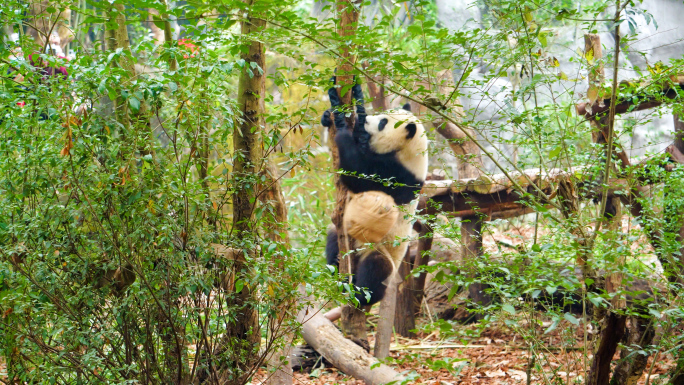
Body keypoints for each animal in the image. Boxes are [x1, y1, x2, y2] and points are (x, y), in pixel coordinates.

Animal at [322, 80, 428, 306]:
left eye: (383, 123)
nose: (367, 120)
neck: (409, 151)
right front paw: (330, 114)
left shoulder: (398, 175)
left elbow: (357, 174)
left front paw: (342, 128)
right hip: (343, 235)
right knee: (333, 237)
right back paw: (336, 266)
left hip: (382, 249)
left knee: (376, 269)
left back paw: (360, 295)